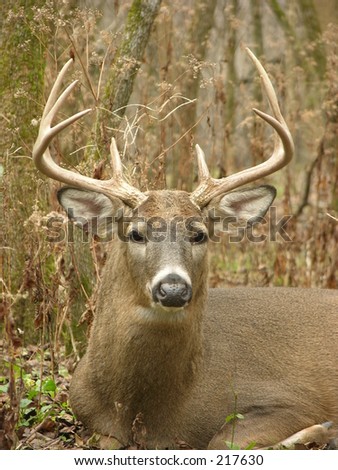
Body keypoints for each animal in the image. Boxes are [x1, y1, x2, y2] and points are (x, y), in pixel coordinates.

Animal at [32, 49, 338, 450]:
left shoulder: (293, 399)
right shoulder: (90, 418)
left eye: (199, 234)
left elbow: (221, 440)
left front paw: (318, 430)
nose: (174, 288)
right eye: (136, 234)